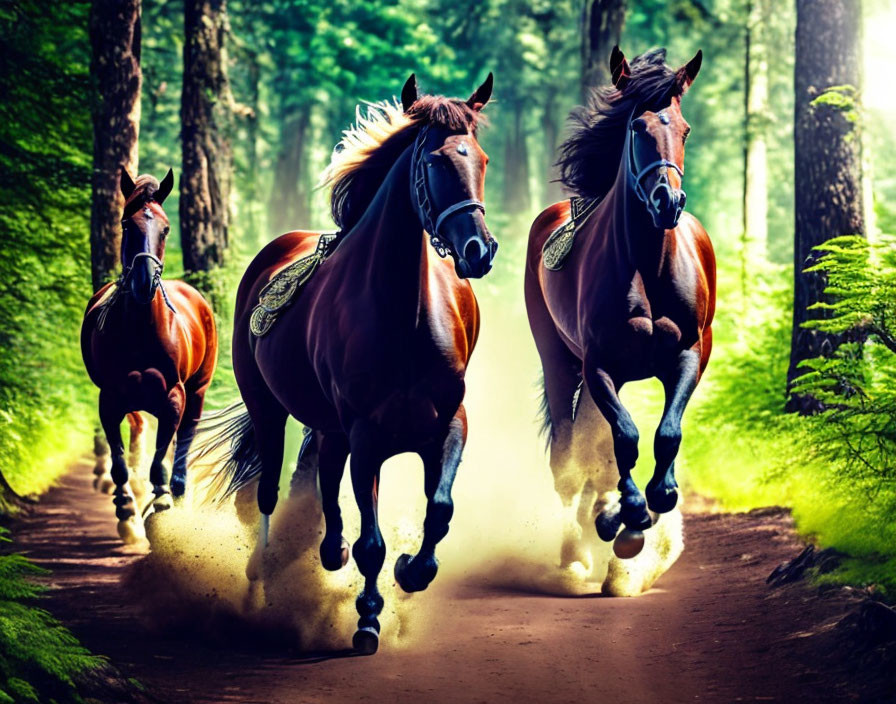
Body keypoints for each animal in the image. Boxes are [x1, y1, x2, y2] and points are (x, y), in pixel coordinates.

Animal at [82, 168, 219, 540]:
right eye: (126, 224)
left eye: (166, 227)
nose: (144, 282)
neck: (142, 328)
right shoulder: (110, 398)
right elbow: (118, 463)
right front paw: (127, 512)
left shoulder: (173, 396)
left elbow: (162, 459)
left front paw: (162, 503)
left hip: (197, 392)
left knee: (183, 442)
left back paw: (179, 496)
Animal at [197, 74, 500, 652]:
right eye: (435, 162)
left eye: (482, 159)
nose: (479, 249)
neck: (403, 319)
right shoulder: (367, 437)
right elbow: (371, 541)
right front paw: (367, 618)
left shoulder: (449, 424)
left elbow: (439, 512)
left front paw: (411, 571)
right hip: (270, 409)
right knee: (269, 492)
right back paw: (262, 582)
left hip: (329, 425)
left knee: (324, 477)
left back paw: (326, 552)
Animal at [520, 46, 716, 592]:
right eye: (638, 129)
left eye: (685, 129)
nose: (668, 202)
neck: (647, 265)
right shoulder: (600, 365)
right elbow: (625, 438)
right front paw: (625, 519)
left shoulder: (687, 356)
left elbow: (665, 435)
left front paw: (646, 505)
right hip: (560, 361)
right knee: (567, 455)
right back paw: (577, 551)